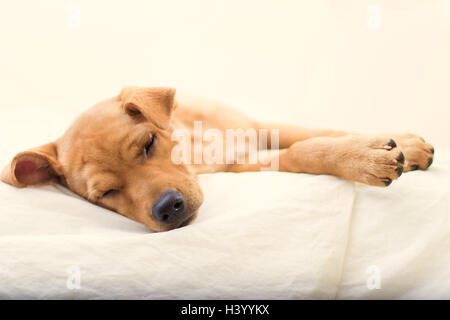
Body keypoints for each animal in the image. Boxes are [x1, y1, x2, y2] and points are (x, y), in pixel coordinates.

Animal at [0, 86, 436, 231]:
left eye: (148, 144)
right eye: (105, 194)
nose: (168, 210)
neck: (196, 143)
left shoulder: (260, 126)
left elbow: (318, 133)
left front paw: (396, 145)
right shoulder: (246, 163)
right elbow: (303, 151)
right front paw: (364, 155)